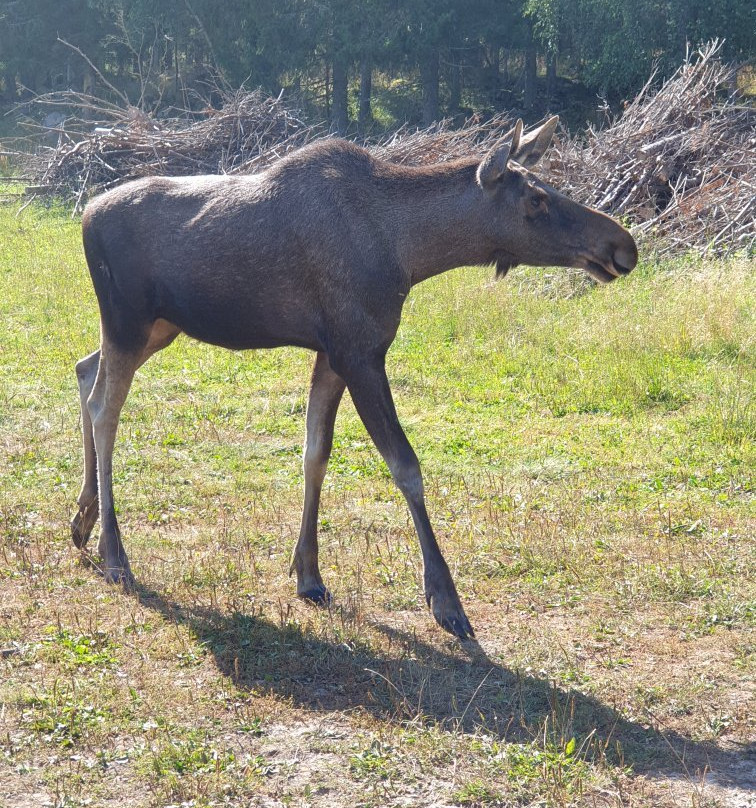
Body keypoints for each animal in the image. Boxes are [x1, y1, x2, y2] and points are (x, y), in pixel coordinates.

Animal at [72, 118, 636, 636]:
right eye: (537, 199)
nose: (623, 244)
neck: (410, 254)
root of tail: (84, 215)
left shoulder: (332, 352)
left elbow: (315, 452)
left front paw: (309, 573)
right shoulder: (361, 352)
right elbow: (406, 466)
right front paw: (445, 600)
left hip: (158, 327)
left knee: (83, 369)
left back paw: (81, 520)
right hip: (127, 321)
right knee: (105, 408)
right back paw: (114, 552)